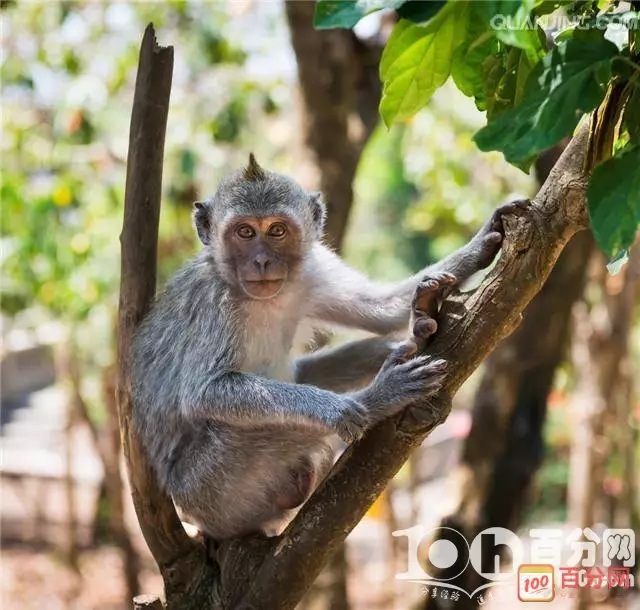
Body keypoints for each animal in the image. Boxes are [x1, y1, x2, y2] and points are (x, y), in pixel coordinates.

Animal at [129, 154, 524, 540]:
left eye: (276, 230)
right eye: (244, 232)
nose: (261, 261)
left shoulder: (313, 270)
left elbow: (379, 310)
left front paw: (480, 245)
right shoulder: (212, 302)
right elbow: (204, 392)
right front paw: (344, 408)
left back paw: (420, 328)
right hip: (210, 491)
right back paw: (379, 398)